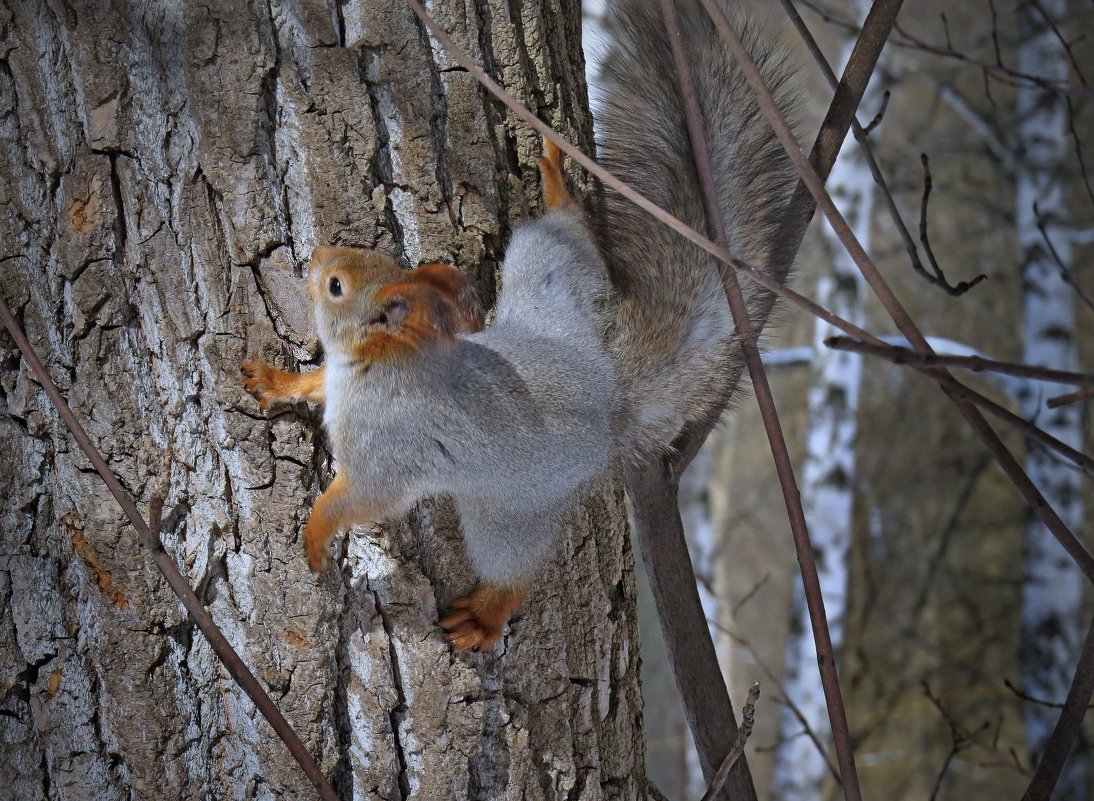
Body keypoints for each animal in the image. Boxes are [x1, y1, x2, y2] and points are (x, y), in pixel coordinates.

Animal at [241, 0, 796, 652]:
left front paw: (314, 535)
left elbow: (362, 496)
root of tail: (609, 399)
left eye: (335, 287)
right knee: (562, 240)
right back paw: (558, 190)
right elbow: (312, 383)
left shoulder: (389, 446)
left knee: (514, 569)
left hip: (507, 511)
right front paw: (276, 382)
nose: (317, 256)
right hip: (549, 292)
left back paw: (486, 615)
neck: (376, 361)